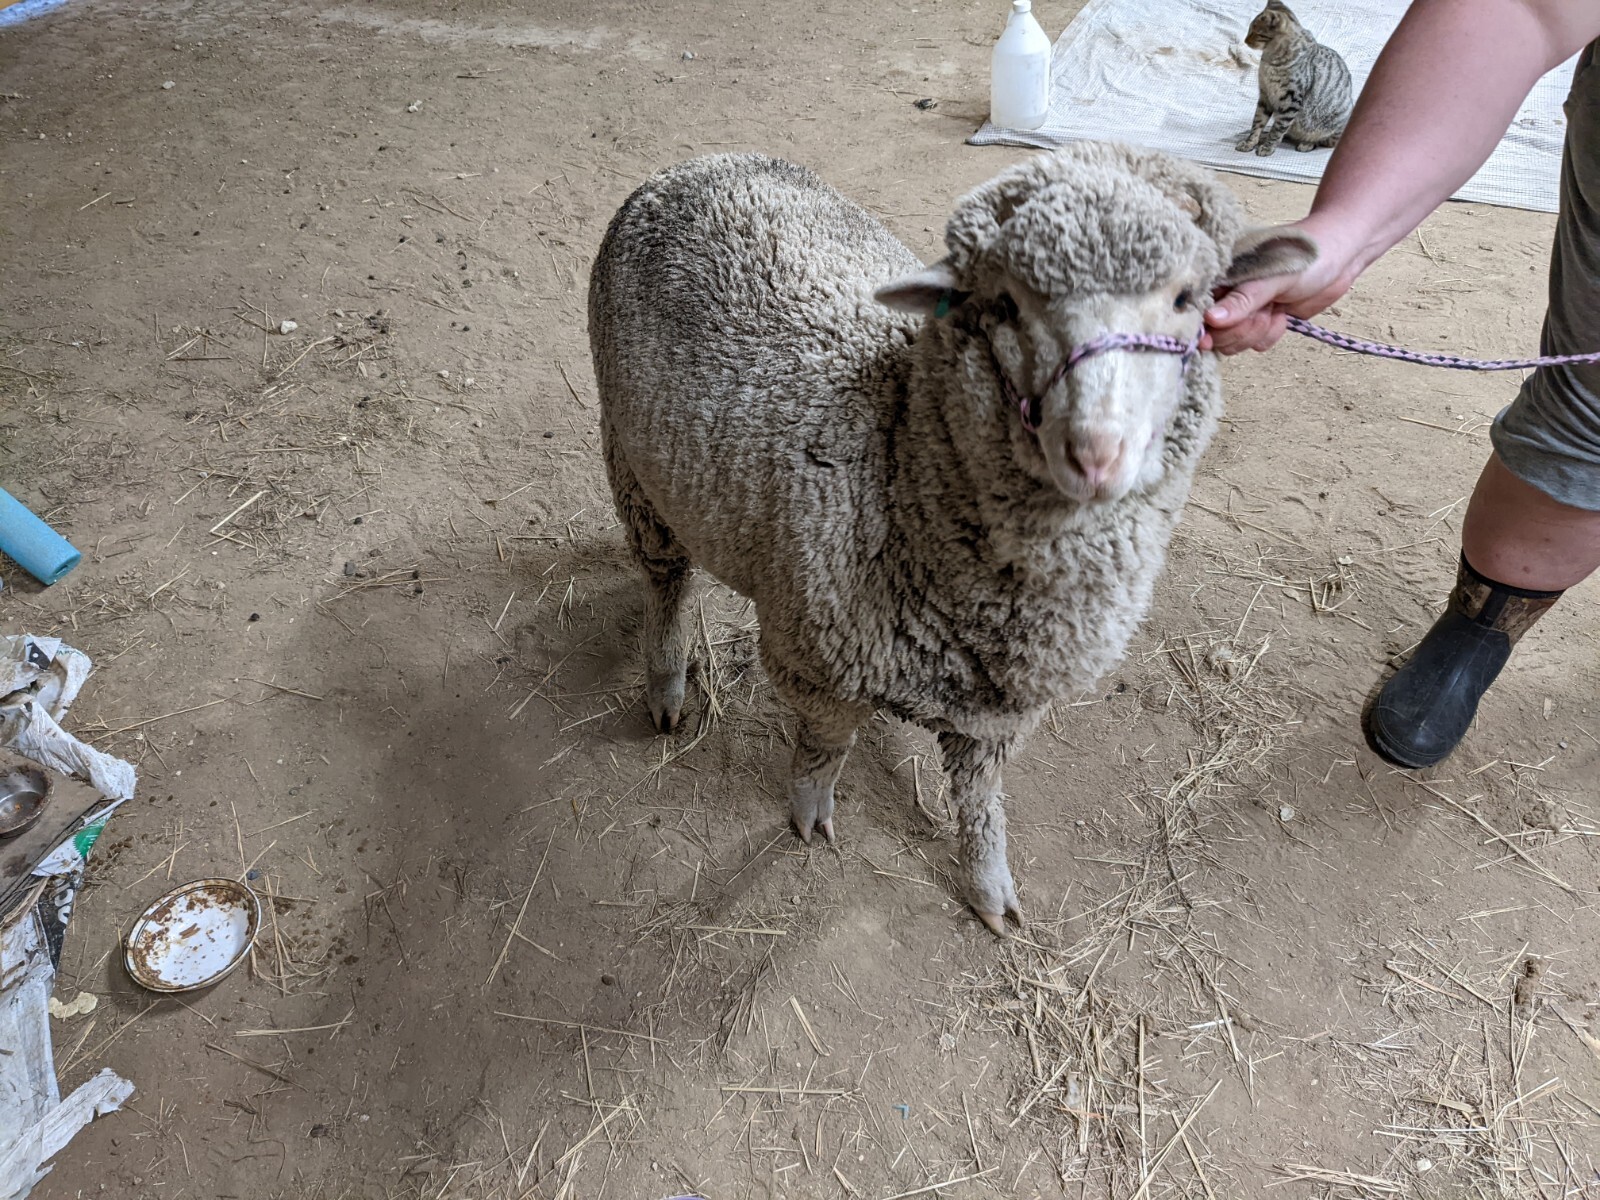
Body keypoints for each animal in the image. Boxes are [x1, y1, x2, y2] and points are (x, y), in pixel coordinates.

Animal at [587, 144, 1315, 934]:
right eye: (1005, 305)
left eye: (1188, 299)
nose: (1096, 452)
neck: (899, 452)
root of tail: (703, 162)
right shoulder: (818, 662)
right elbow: (824, 747)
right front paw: (809, 815)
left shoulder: (999, 703)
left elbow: (979, 798)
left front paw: (989, 884)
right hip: (631, 456)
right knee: (667, 577)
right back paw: (666, 682)